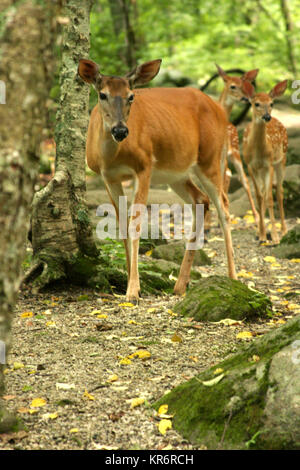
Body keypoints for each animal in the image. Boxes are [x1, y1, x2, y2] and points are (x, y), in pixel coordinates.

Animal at [78, 58, 237, 302]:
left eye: (131, 96)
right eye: (102, 94)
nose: (120, 130)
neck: (112, 157)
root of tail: (219, 110)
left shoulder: (144, 166)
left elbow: (135, 224)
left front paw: (133, 290)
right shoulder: (107, 177)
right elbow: (121, 225)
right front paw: (128, 279)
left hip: (209, 158)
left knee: (224, 207)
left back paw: (233, 278)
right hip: (177, 173)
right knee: (201, 200)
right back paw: (180, 285)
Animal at [216, 63, 260, 222]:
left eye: (244, 85)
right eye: (233, 86)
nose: (245, 98)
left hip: (235, 152)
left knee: (243, 179)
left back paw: (256, 216)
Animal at [241, 79, 288, 244]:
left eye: (272, 103)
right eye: (256, 104)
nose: (267, 117)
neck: (258, 152)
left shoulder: (269, 164)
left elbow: (269, 198)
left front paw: (274, 237)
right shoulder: (250, 166)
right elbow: (259, 196)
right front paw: (261, 235)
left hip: (281, 160)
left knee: (279, 191)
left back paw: (284, 230)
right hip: (261, 170)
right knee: (263, 191)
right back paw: (260, 232)